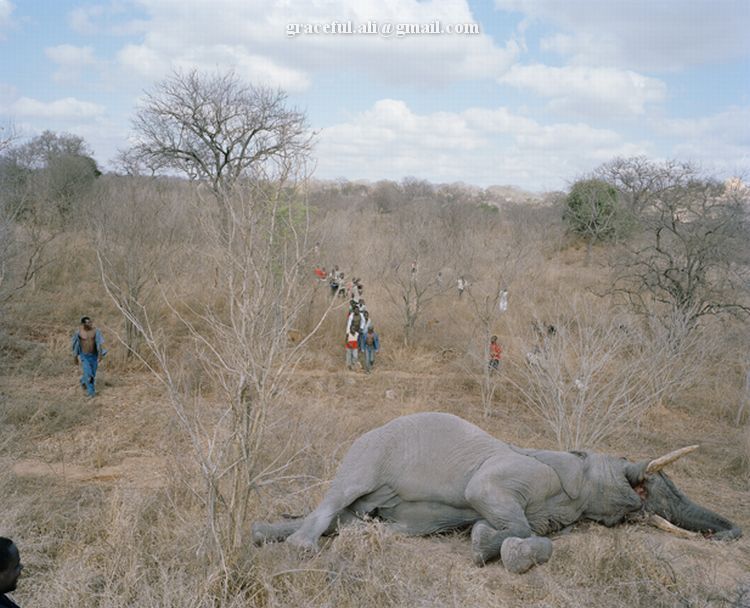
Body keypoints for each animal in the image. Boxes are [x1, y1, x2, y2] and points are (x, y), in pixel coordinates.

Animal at [252, 412, 741, 573]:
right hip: (368, 451)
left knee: (346, 519)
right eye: (637, 475)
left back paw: (262, 534)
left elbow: (518, 526)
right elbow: (490, 497)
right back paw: (300, 548)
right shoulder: (523, 470)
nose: (733, 533)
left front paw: (485, 542)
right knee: (338, 497)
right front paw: (496, 548)